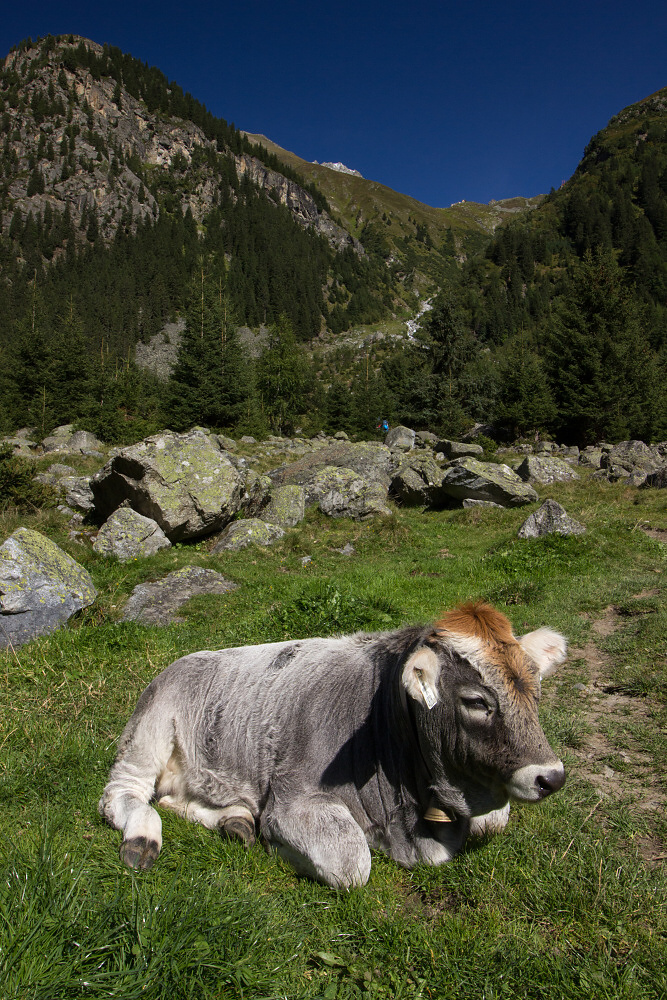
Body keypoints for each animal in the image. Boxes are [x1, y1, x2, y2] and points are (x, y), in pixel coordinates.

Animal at [99, 604, 568, 888]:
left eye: (536, 692)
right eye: (476, 701)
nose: (551, 778)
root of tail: (179, 662)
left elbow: (494, 820)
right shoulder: (293, 796)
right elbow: (349, 863)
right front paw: (277, 844)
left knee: (176, 799)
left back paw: (236, 820)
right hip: (148, 732)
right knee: (124, 794)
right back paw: (143, 838)